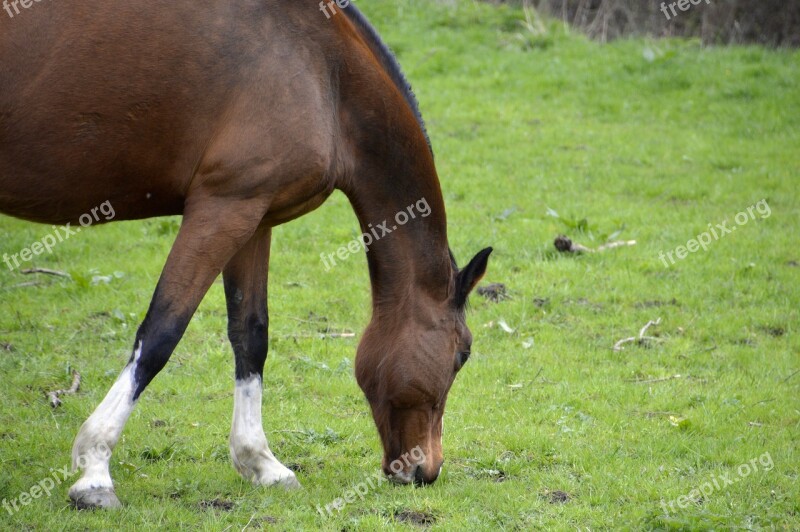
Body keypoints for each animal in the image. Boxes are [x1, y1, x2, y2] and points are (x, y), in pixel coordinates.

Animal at [0, 0, 490, 510]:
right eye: (462, 355)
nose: (426, 471)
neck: (325, 70)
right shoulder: (222, 207)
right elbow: (160, 333)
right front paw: (95, 469)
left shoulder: (254, 214)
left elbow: (250, 333)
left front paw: (260, 462)